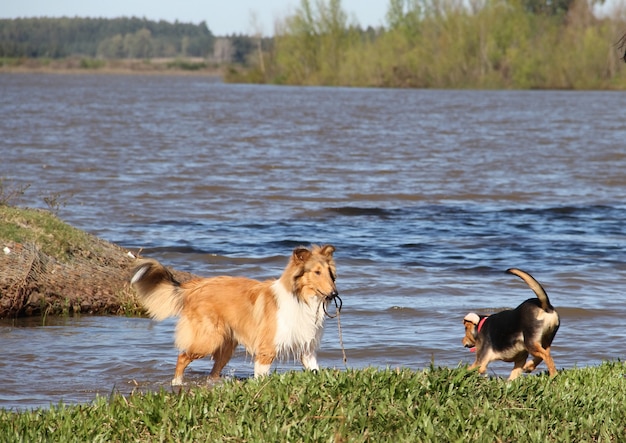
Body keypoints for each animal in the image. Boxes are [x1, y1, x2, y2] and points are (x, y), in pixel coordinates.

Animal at [129, 245, 338, 386]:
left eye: (330, 273)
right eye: (316, 272)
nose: (334, 294)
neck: (301, 299)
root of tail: (194, 286)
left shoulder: (307, 349)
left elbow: (315, 370)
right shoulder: (266, 350)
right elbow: (262, 377)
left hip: (226, 346)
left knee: (212, 372)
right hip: (208, 339)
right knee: (182, 357)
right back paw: (177, 384)